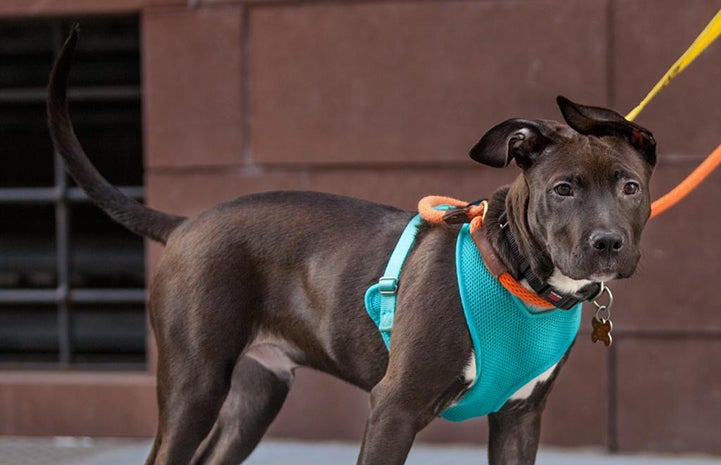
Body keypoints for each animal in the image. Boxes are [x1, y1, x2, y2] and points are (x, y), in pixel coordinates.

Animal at [47, 29, 656, 464]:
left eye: (630, 187)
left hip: (255, 393)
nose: (608, 243)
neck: (516, 273)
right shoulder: (394, 407)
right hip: (193, 383)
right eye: (562, 190)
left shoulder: (519, 419)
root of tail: (186, 223)